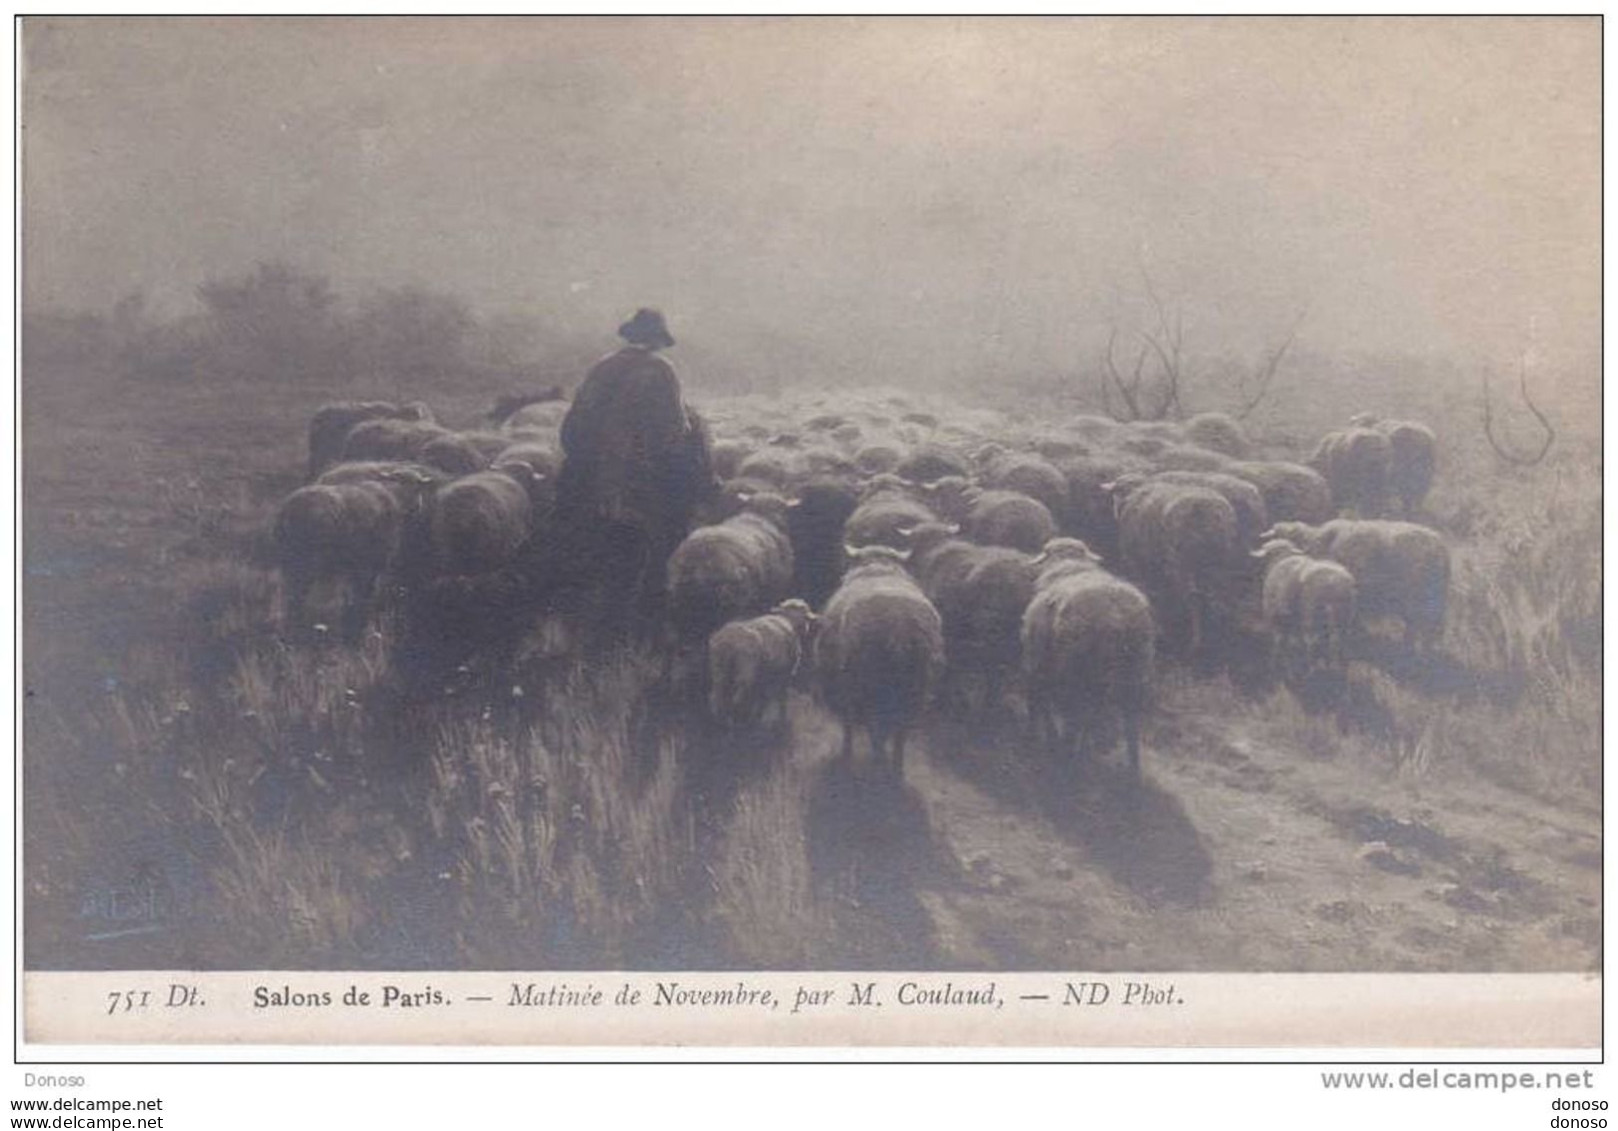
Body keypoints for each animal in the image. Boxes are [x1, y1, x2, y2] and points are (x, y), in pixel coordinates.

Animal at [705, 598, 815, 731]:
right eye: (804, 610)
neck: (789, 621)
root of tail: (728, 641)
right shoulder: (783, 674)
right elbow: (781, 697)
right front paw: (781, 719)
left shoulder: (764, 677)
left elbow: (760, 698)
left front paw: (757, 717)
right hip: (746, 670)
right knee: (737, 698)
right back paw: (737, 722)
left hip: (719, 668)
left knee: (716, 695)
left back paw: (720, 720)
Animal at [815, 546, 944, 779]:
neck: (878, 567)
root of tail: (899, 630)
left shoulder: (843, 689)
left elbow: (848, 726)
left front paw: (846, 752)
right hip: (916, 690)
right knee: (900, 732)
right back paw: (896, 769)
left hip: (869, 689)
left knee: (876, 732)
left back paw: (878, 766)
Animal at [1016, 537, 1158, 779]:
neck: (1070, 566)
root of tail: (1116, 618)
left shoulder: (1036, 663)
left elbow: (1040, 702)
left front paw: (1040, 738)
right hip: (1134, 675)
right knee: (1128, 723)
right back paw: (1130, 769)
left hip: (1076, 673)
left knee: (1076, 716)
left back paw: (1069, 758)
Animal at [1242, 537, 1359, 666]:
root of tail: (1335, 579)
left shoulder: (1273, 614)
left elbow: (1278, 641)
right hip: (1344, 615)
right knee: (1338, 638)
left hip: (1310, 612)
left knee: (1312, 639)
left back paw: (1311, 664)